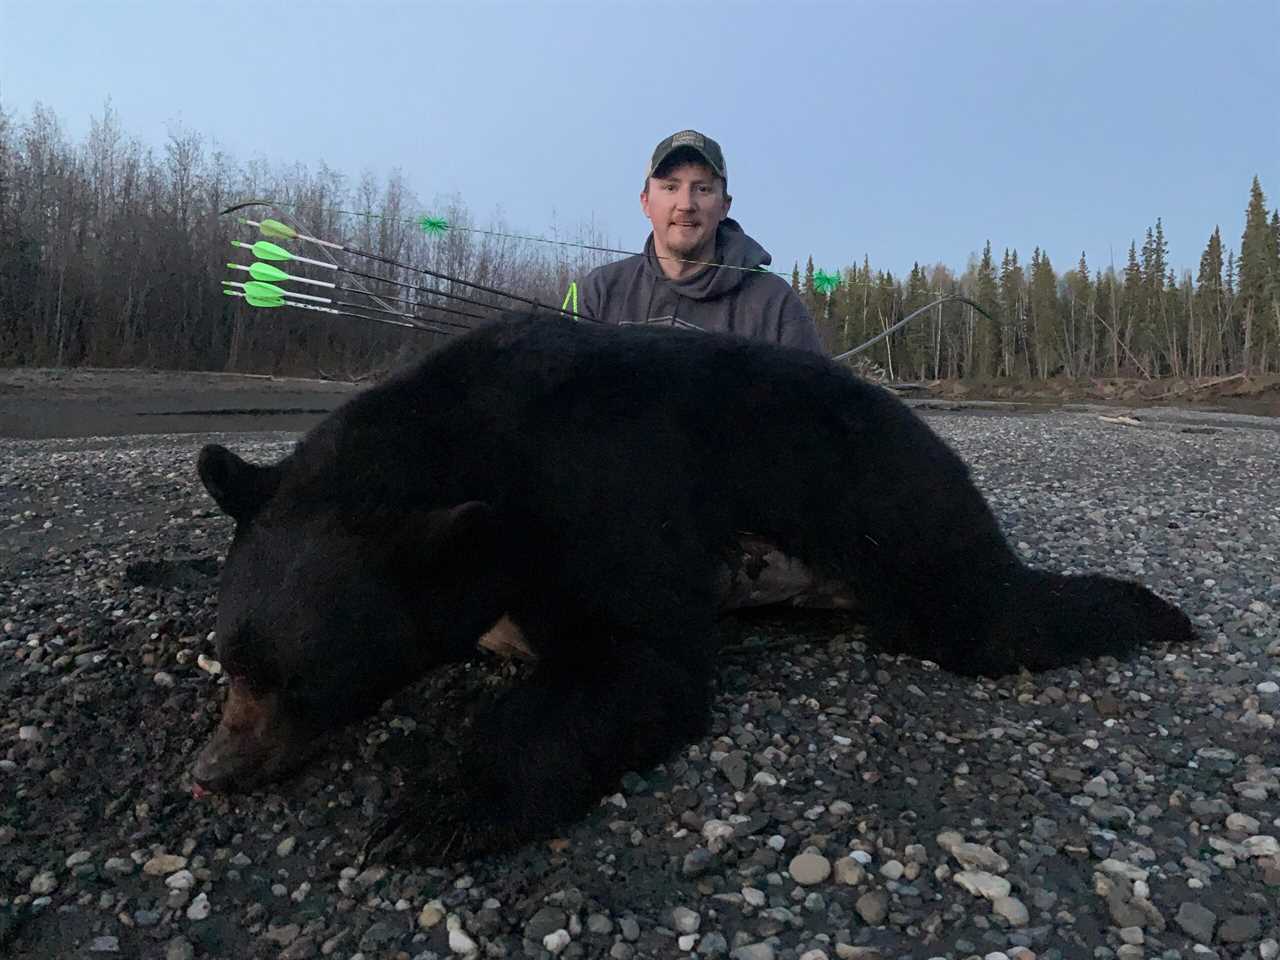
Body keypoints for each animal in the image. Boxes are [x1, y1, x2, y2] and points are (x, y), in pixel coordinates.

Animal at [192, 313, 1198, 865]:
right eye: (228, 660)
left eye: (301, 681)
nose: (212, 772)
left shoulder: (600, 485)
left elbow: (639, 660)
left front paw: (435, 808)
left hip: (878, 488)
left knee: (981, 612)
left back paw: (1151, 607)